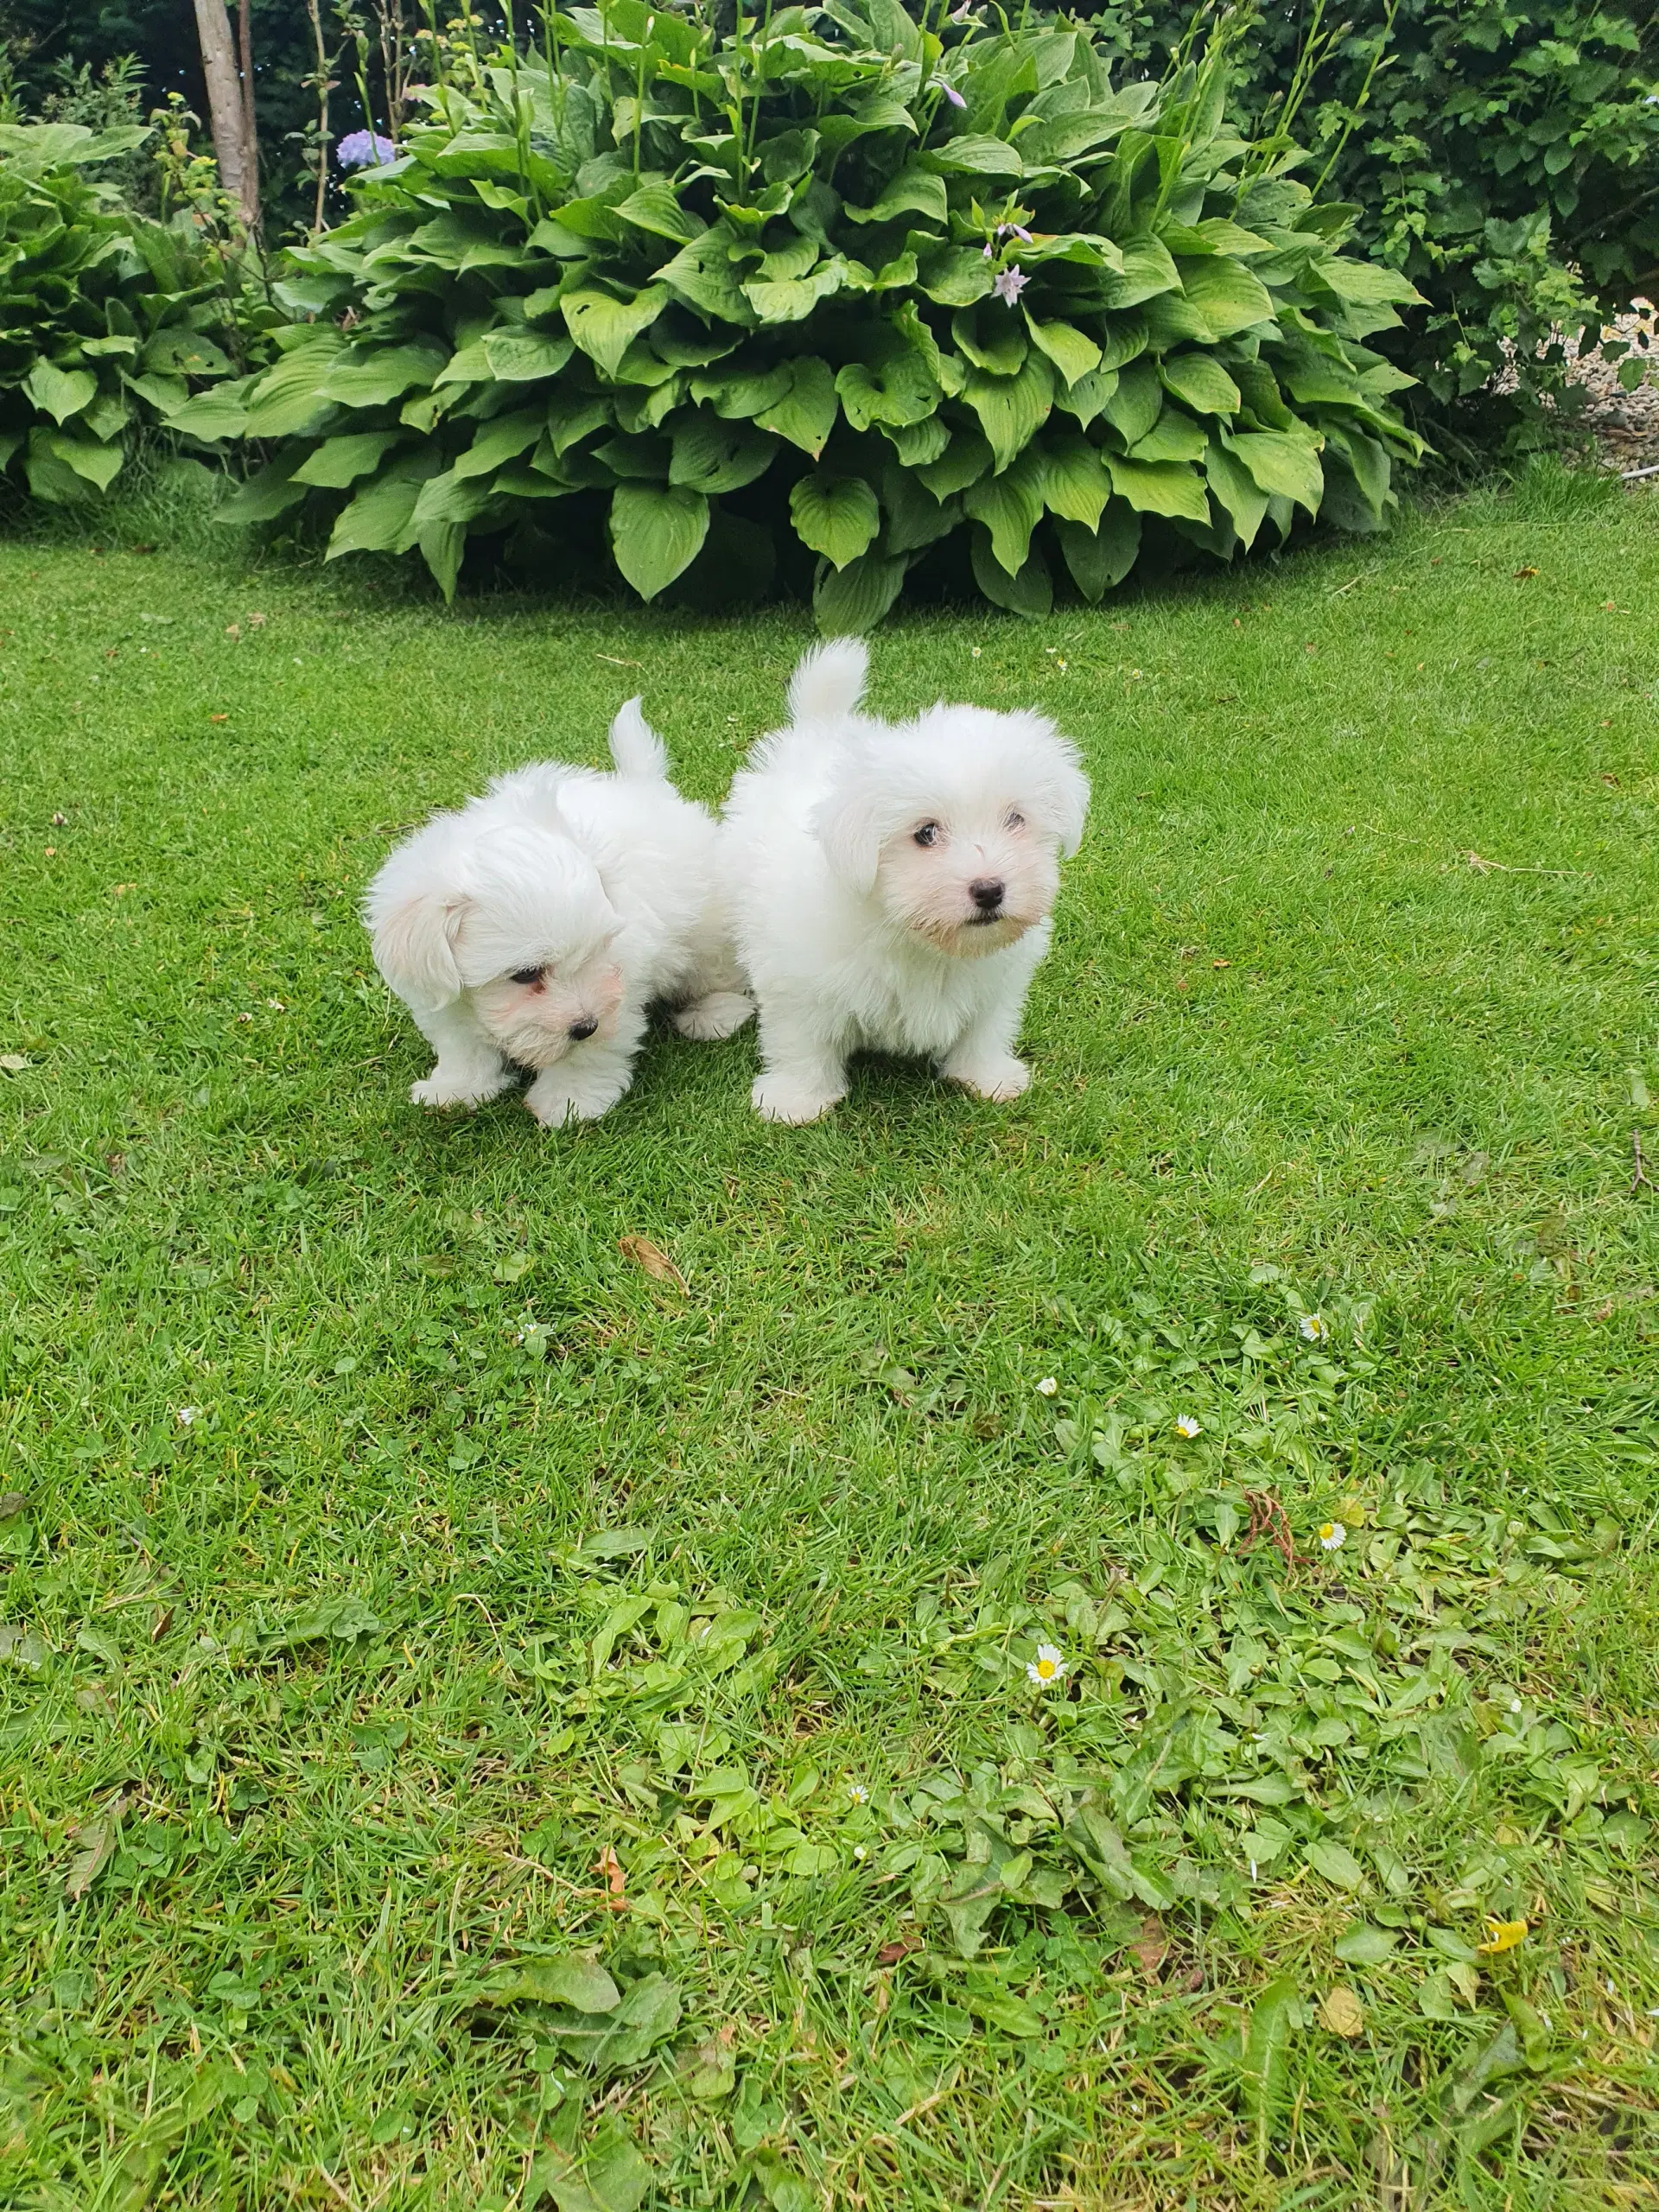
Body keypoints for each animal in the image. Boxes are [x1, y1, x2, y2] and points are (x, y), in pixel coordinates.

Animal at [369, 703, 752, 1123]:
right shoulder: (442, 993)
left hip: (708, 930)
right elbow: (463, 1045)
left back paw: (715, 1013)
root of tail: (646, 787)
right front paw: (457, 1088)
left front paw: (569, 1102)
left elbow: (591, 1050)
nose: (585, 1025)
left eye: (595, 953)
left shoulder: (619, 984)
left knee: (718, 971)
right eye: (525, 974)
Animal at [716, 641, 1092, 1123]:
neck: (913, 938)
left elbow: (985, 1030)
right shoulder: (799, 981)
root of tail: (818, 730)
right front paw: (797, 1101)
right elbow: (802, 1042)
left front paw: (986, 1078)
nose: (990, 890)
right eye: (925, 833)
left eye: (1015, 819)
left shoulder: (995, 985)